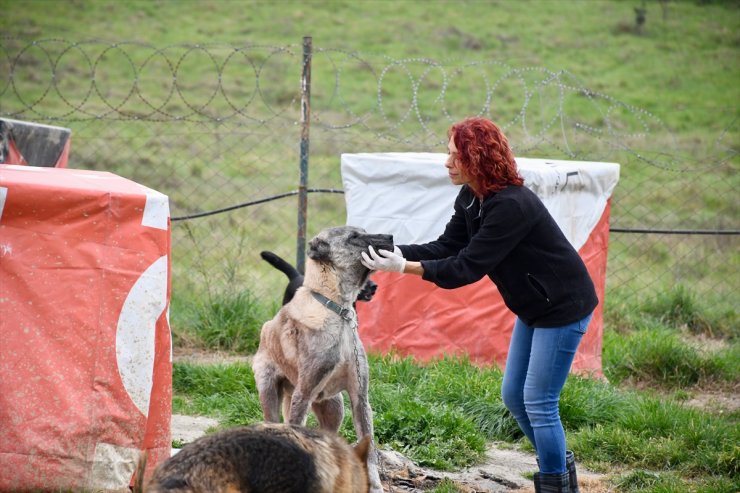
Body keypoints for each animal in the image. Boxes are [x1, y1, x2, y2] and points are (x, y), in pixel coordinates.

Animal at [251, 225, 394, 490]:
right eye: (353, 236)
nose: (390, 237)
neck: (338, 310)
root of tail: (267, 327)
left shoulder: (360, 398)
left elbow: (369, 450)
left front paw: (376, 487)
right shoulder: (304, 393)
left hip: (334, 408)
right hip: (270, 394)